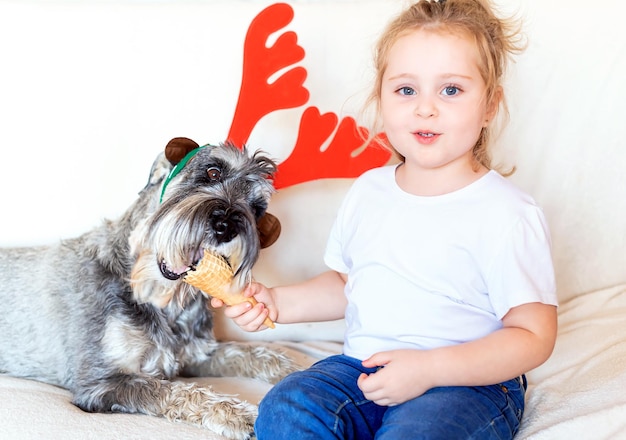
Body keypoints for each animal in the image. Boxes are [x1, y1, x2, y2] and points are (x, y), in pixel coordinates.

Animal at [0, 139, 298, 440]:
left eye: (257, 208)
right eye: (213, 172)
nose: (226, 226)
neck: (164, 302)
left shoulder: (196, 354)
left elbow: (250, 353)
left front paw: (294, 369)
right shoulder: (101, 381)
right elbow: (176, 392)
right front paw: (238, 414)